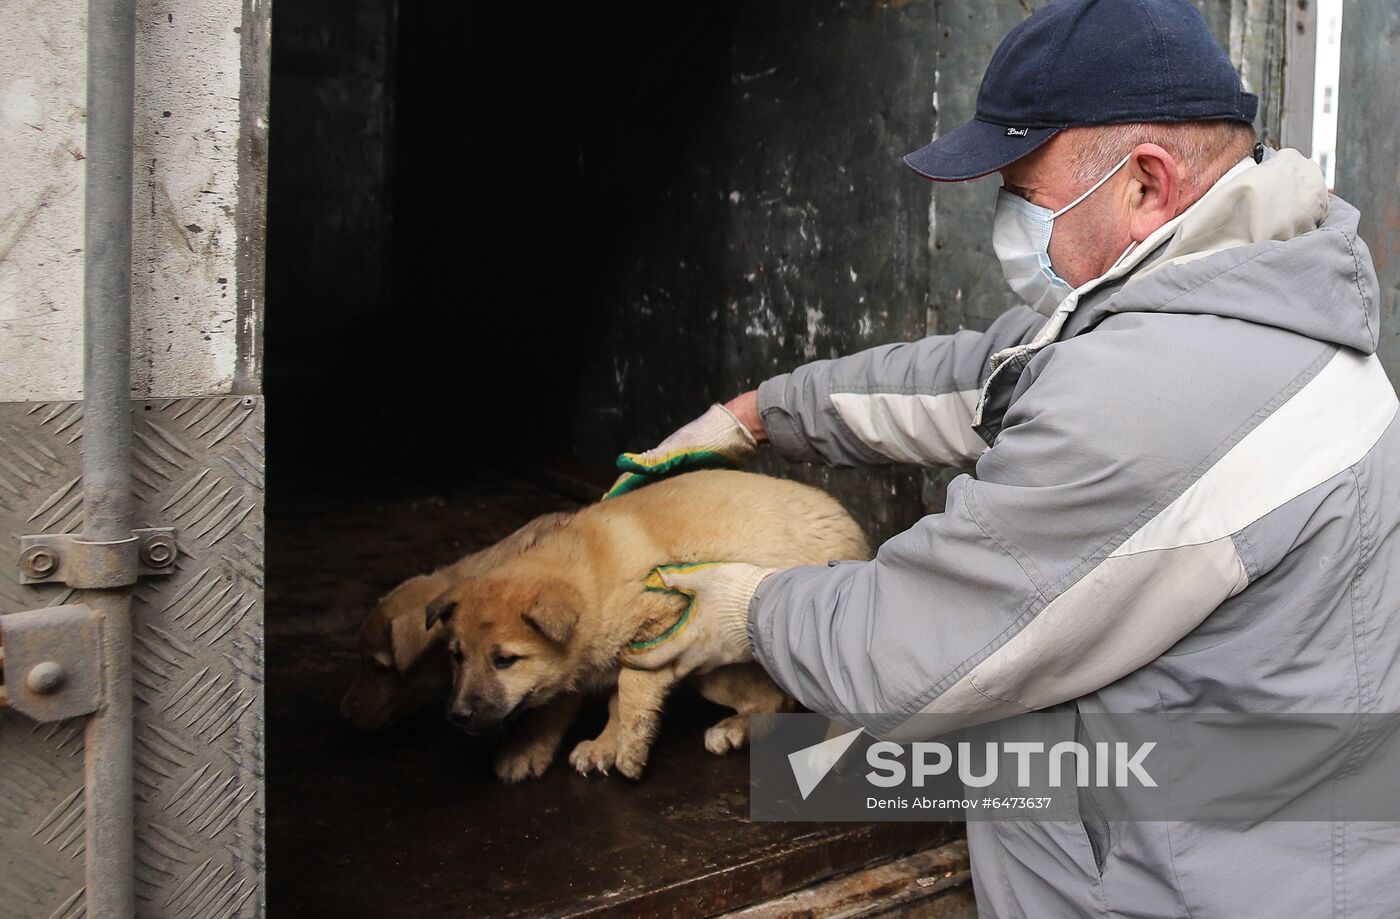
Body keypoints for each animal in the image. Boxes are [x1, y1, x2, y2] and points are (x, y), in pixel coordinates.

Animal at [420, 470, 868, 778]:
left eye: (505, 660)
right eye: (457, 657)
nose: (457, 715)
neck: (590, 578)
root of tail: (856, 534)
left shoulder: (661, 623)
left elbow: (630, 687)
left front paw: (629, 747)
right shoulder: (581, 664)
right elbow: (572, 704)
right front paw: (542, 748)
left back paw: (827, 750)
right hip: (714, 669)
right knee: (775, 701)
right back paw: (735, 729)